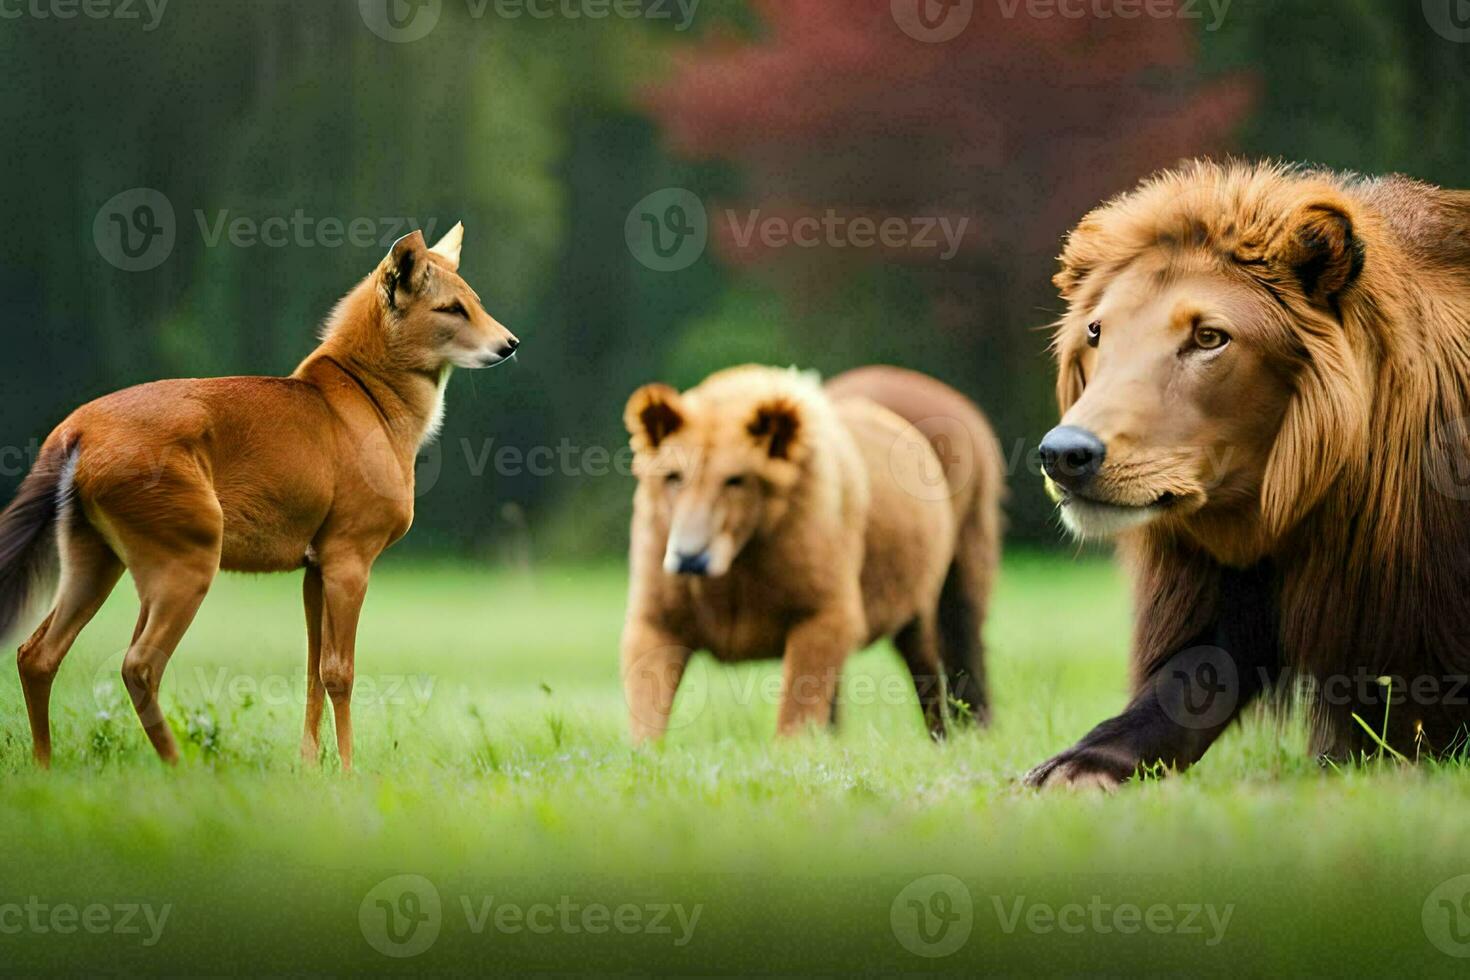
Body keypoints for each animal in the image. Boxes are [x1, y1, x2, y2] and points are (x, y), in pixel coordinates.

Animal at [0, 226, 520, 769]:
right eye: (450, 308)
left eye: (475, 301)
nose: (509, 344)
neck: (370, 402)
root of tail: (73, 430)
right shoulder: (350, 556)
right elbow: (340, 671)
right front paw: (349, 770)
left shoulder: (314, 567)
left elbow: (313, 669)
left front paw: (309, 766)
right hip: (186, 557)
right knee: (138, 664)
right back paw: (179, 768)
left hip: (96, 557)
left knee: (37, 654)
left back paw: (45, 765)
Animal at [614, 364, 1005, 740]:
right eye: (674, 477)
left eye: (735, 480)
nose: (689, 557)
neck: (734, 565)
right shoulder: (655, 619)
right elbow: (645, 712)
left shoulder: (826, 613)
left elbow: (797, 711)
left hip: (955, 580)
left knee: (954, 660)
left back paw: (967, 736)